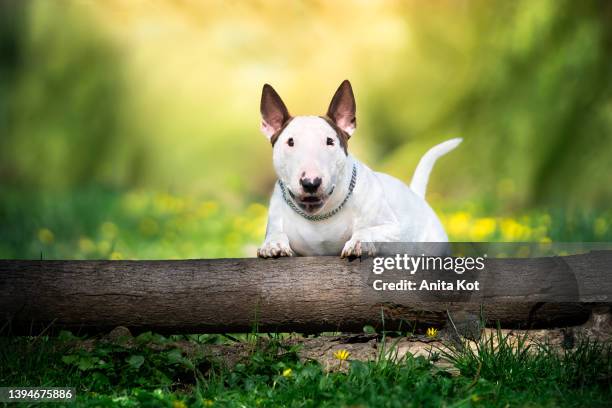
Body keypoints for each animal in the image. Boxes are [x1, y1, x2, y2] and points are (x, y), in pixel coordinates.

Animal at [256, 80, 462, 258]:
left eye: (330, 141)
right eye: (290, 142)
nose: (311, 183)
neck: (321, 217)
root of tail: (417, 197)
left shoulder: (394, 229)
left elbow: (367, 229)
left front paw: (359, 242)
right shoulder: (276, 221)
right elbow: (276, 234)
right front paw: (273, 245)